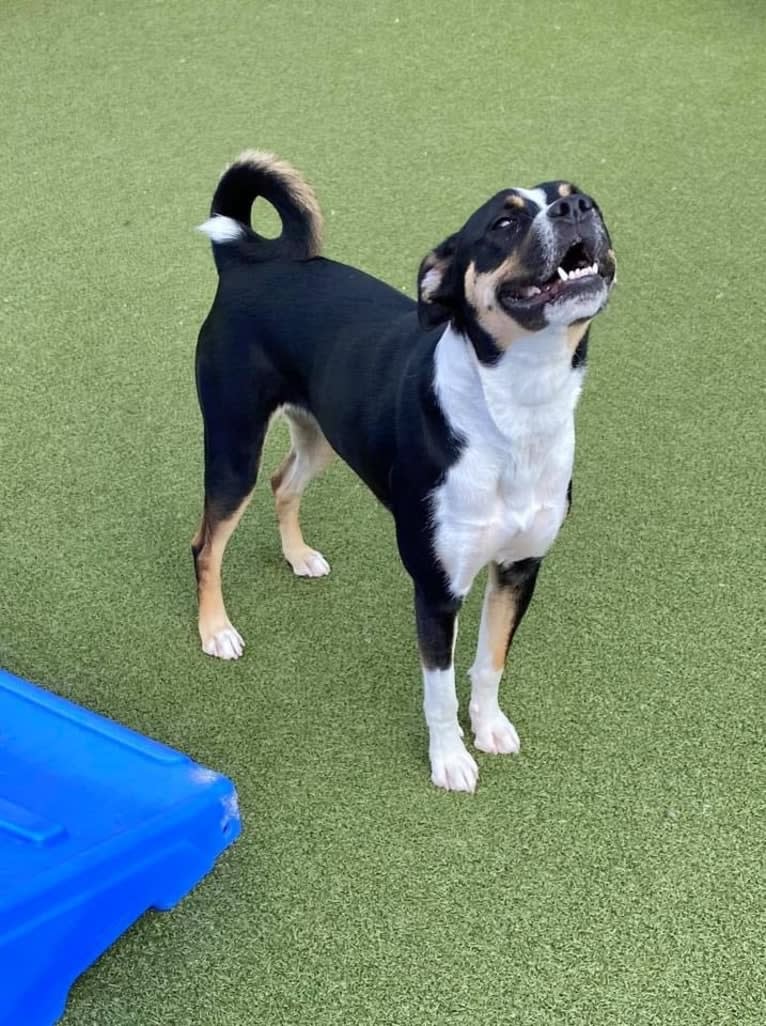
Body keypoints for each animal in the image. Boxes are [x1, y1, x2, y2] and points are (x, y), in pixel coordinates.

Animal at [191, 149, 615, 792]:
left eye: (577, 195)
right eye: (505, 223)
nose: (578, 210)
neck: (514, 414)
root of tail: (248, 264)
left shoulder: (519, 569)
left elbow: (489, 663)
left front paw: (489, 727)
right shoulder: (438, 589)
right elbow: (439, 692)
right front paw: (449, 760)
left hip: (321, 433)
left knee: (283, 483)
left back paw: (298, 556)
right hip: (234, 443)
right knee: (207, 543)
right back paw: (215, 629)